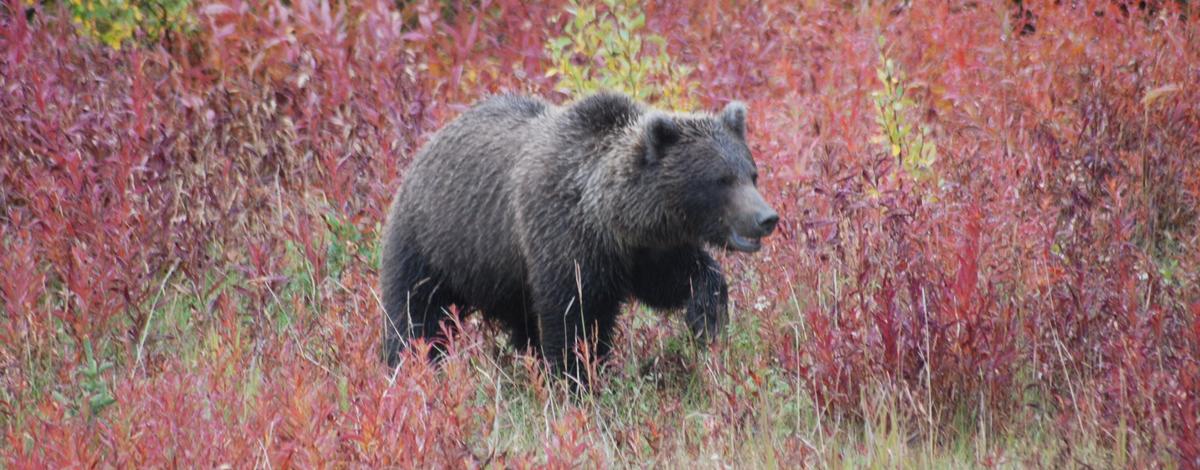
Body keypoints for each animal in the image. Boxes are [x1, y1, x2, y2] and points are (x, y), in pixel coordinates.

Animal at [379, 91, 782, 381]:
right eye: (721, 180)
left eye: (752, 174)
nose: (766, 218)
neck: (610, 220)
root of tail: (425, 147)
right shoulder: (563, 239)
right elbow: (573, 319)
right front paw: (578, 378)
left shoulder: (647, 251)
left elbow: (680, 279)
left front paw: (706, 318)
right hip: (433, 245)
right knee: (415, 316)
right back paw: (408, 368)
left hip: (506, 276)